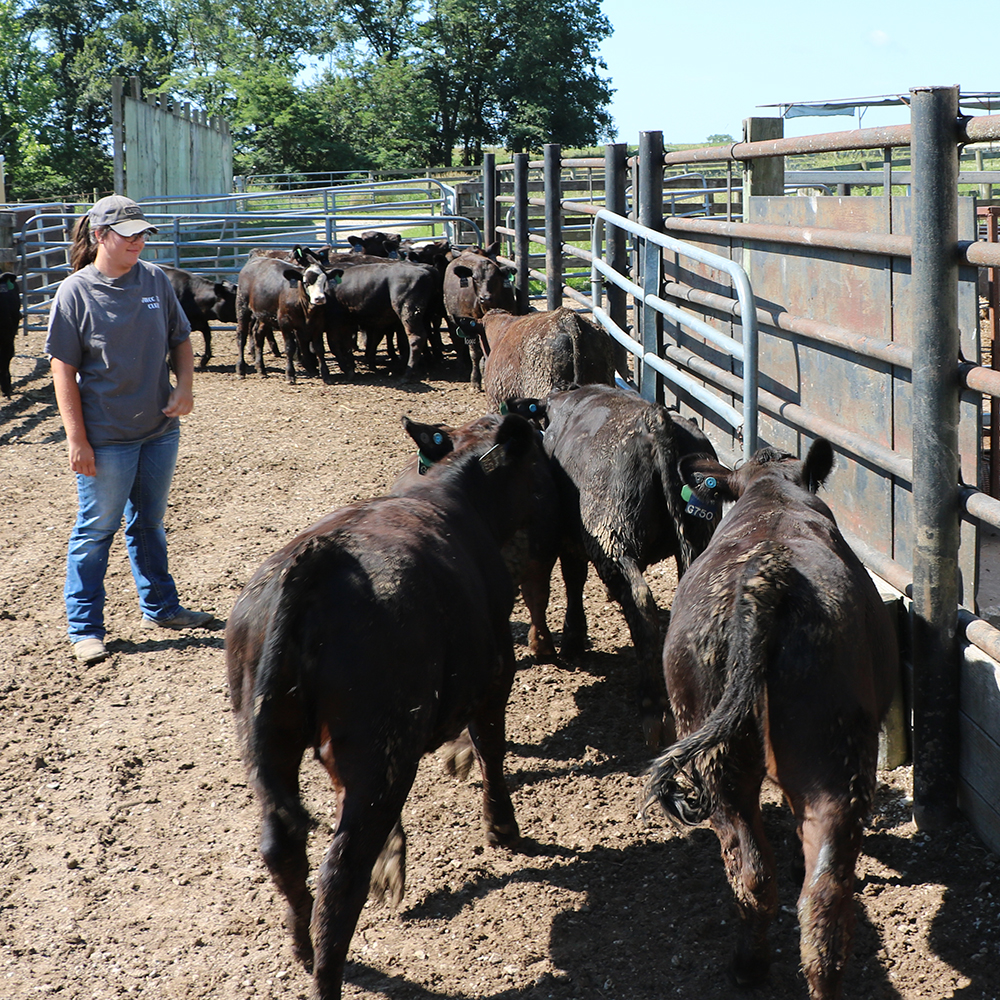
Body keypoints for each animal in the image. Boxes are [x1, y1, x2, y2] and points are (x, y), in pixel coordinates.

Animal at [225, 410, 548, 996]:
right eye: (535, 457)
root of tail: (315, 566)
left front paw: (392, 858)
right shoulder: (494, 677)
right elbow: (490, 749)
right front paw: (502, 827)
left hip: (269, 739)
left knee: (284, 847)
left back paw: (304, 948)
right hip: (381, 744)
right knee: (339, 877)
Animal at [235, 254, 330, 382]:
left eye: (324, 282)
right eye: (306, 282)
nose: (319, 298)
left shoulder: (317, 324)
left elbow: (318, 348)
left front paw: (324, 373)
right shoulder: (285, 323)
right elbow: (290, 347)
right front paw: (290, 374)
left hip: (264, 315)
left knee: (258, 335)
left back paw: (261, 369)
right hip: (242, 306)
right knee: (242, 336)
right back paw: (241, 369)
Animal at [532, 386, 720, 748]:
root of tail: (653, 419)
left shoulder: (569, 539)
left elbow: (573, 580)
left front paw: (573, 639)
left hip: (611, 538)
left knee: (641, 604)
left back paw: (652, 706)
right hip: (698, 535)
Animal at [644, 440, 904, 1000]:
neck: (771, 491)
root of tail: (769, 578)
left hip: (724, 764)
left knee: (760, 875)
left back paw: (750, 964)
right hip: (831, 759)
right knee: (812, 889)